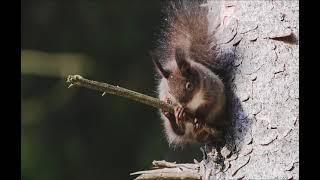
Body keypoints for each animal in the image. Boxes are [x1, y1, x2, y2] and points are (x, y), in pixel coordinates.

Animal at [151, 0, 229, 148]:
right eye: (169, 91)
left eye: (189, 86)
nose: (183, 104)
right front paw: (178, 110)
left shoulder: (213, 90)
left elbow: (210, 105)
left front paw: (200, 118)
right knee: (178, 131)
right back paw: (172, 117)